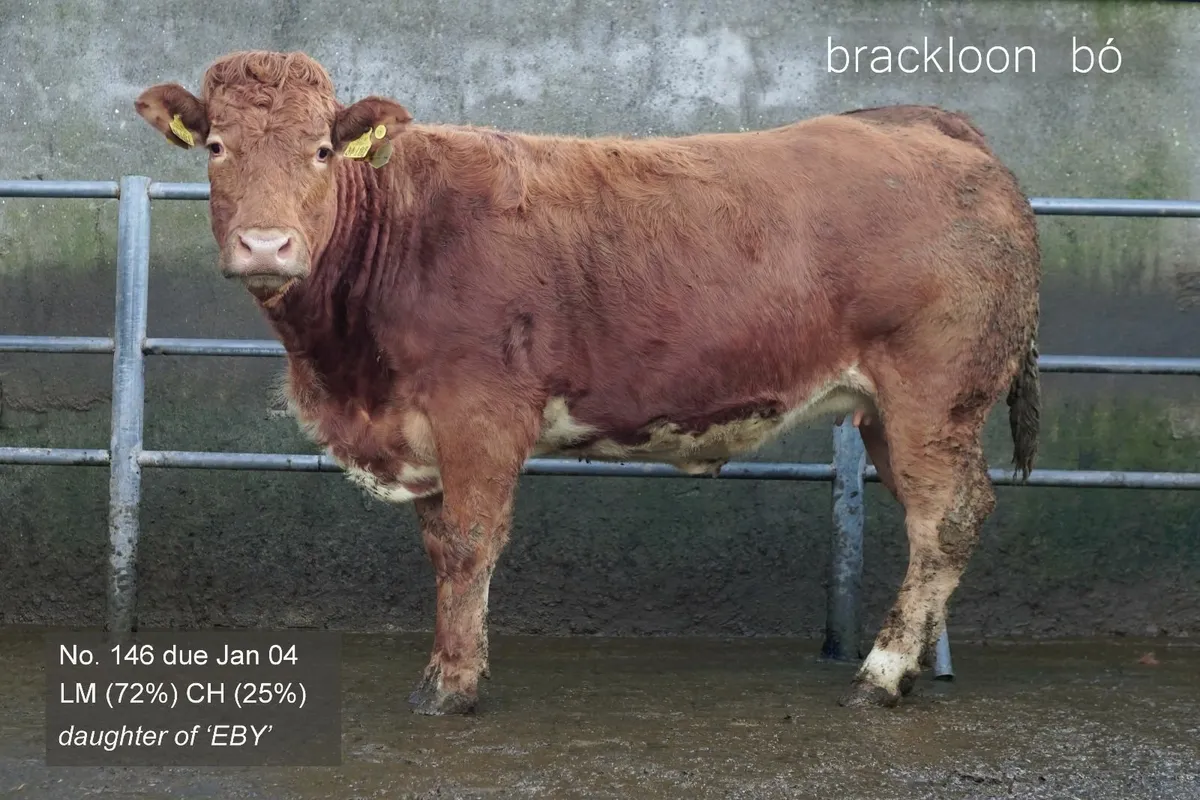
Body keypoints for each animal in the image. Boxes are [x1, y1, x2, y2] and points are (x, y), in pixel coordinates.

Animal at [134, 50, 1041, 716]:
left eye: (321, 150)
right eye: (217, 148)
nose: (266, 245)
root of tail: (928, 122)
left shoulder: (480, 413)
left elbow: (469, 545)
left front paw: (451, 688)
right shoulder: (424, 431)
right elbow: (440, 548)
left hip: (934, 394)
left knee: (945, 520)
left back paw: (882, 673)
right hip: (891, 412)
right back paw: (908, 667)